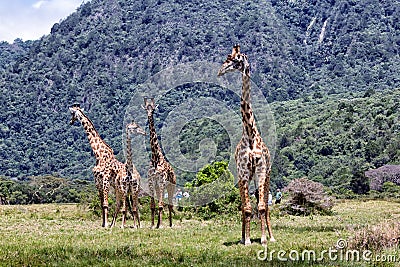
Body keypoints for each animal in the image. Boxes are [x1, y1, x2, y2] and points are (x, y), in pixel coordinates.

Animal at [143, 97, 176, 229]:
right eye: (146, 108)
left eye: (153, 109)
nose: (149, 115)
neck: (156, 158)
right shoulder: (151, 181)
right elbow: (153, 206)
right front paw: (152, 225)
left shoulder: (162, 181)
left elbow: (161, 205)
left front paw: (160, 225)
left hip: (171, 186)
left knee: (170, 204)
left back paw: (170, 224)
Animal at [219, 45, 276, 246]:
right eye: (227, 57)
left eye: (233, 58)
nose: (220, 71)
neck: (250, 134)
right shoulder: (243, 172)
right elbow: (247, 208)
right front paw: (248, 239)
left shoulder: (261, 169)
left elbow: (261, 206)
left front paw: (264, 239)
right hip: (245, 177)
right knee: (245, 205)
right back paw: (244, 236)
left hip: (265, 175)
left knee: (264, 205)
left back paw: (271, 236)